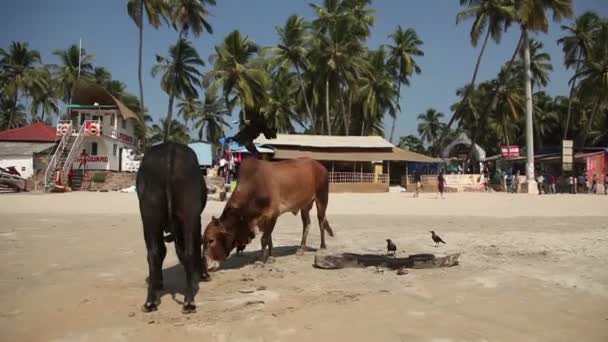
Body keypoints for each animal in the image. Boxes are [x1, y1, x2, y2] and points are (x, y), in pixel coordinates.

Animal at [136, 142, 209, 316]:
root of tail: (170, 148)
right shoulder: (197, 220)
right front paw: (202, 274)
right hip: (189, 214)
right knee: (188, 252)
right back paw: (189, 301)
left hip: (149, 216)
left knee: (154, 253)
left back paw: (150, 301)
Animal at [205, 157, 338, 270]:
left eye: (211, 240)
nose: (207, 266)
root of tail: (320, 166)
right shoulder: (264, 219)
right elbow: (269, 238)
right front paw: (269, 257)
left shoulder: (272, 215)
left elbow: (264, 239)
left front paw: (260, 261)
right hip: (305, 205)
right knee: (307, 224)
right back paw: (301, 249)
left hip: (322, 199)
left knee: (321, 222)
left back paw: (322, 247)